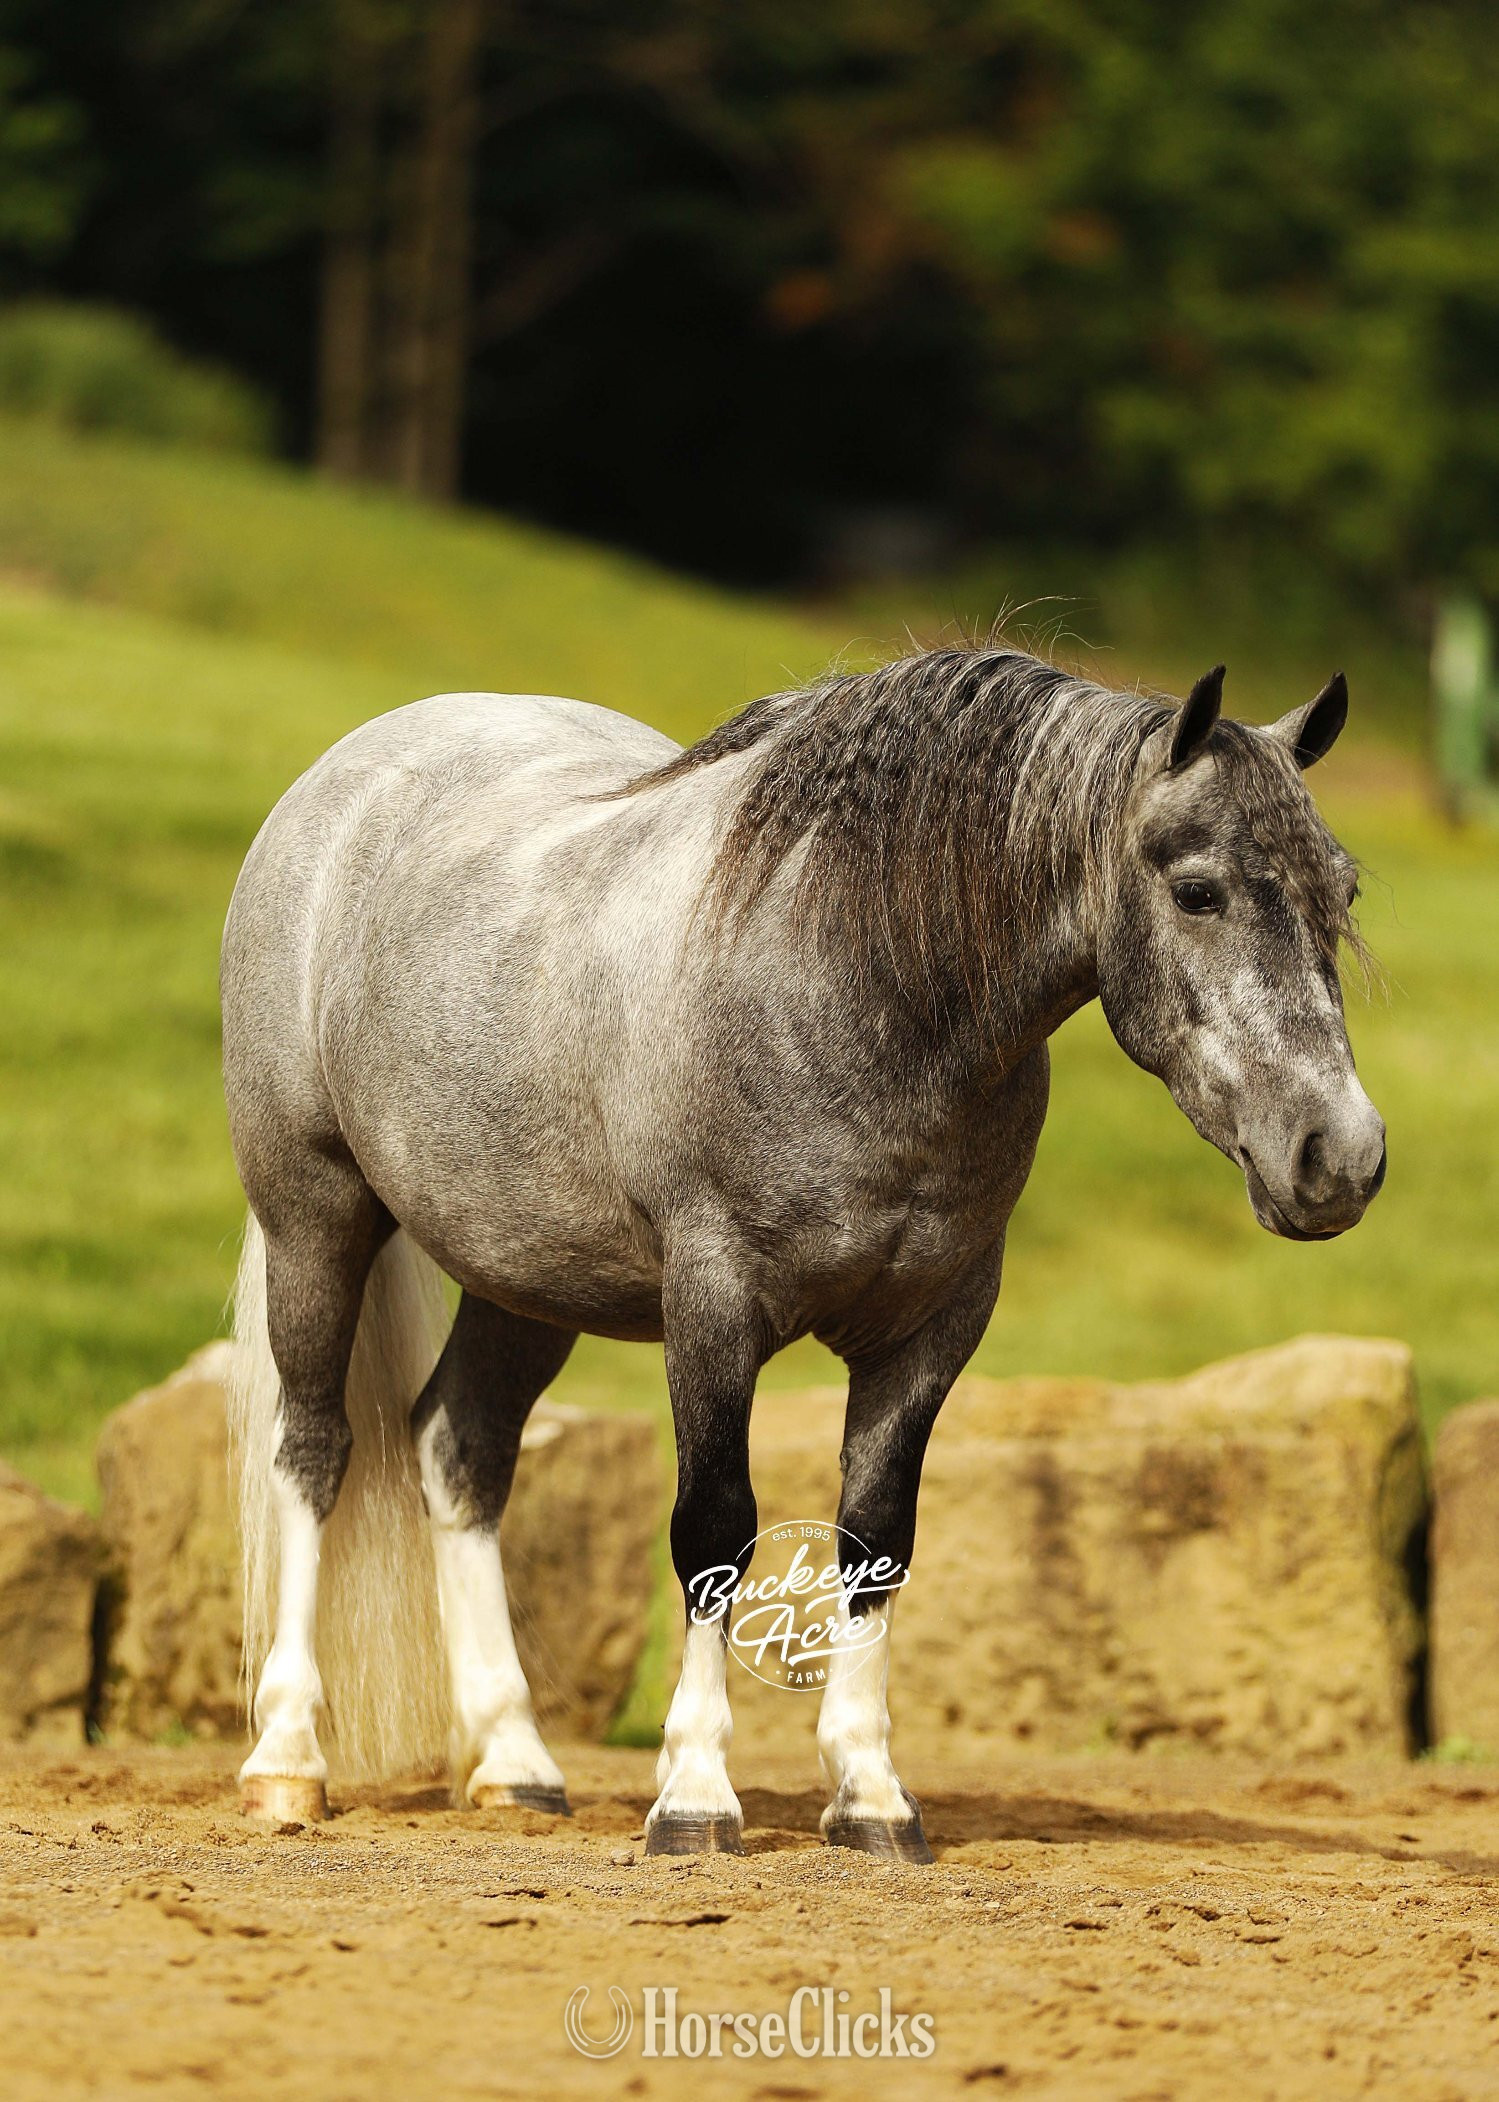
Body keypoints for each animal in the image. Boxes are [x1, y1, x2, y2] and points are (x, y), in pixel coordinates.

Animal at [222, 643, 1386, 1860]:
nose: (1340, 1156)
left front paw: (869, 1796)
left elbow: (875, 1539)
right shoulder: (712, 1304)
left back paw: (513, 1762)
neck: (849, 984)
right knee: (313, 1448)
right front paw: (693, 1795)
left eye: (1340, 889)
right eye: (1197, 888)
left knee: (462, 1449)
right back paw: (287, 1762)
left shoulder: (931, 1330)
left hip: (529, 1281)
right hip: (314, 1214)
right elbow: (713, 1527)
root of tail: (348, 776)